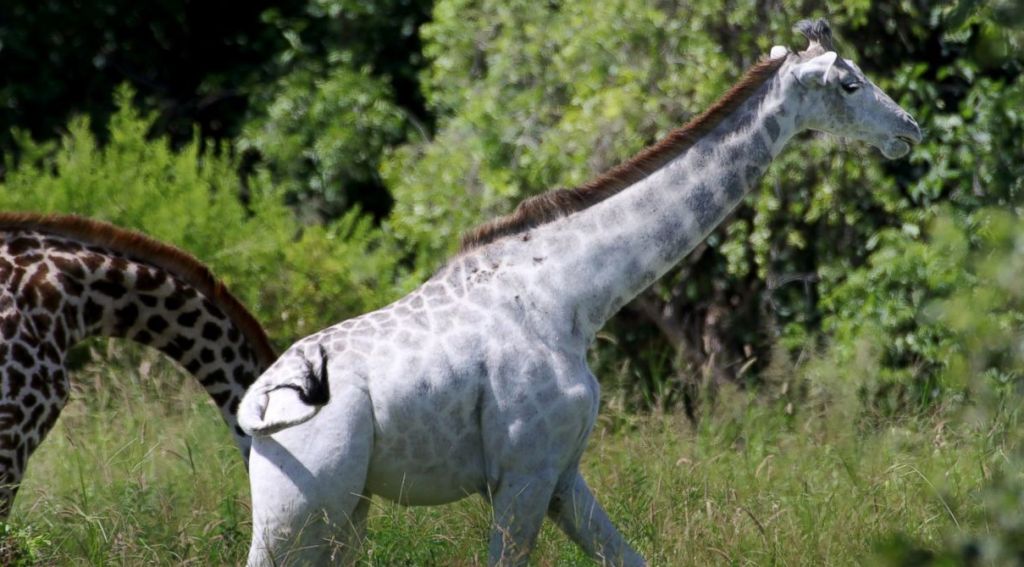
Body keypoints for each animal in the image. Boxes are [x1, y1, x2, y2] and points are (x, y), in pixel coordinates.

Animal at [238, 19, 922, 566]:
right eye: (849, 84)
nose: (909, 129)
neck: (571, 295)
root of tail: (256, 405)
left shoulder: (564, 473)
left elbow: (630, 557)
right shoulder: (523, 472)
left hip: (342, 514)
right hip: (298, 508)